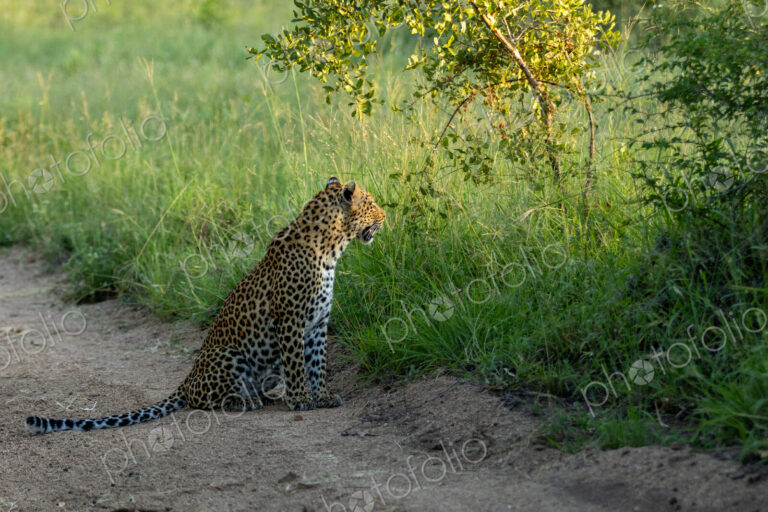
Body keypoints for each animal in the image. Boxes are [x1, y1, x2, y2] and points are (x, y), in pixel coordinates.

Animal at [25, 177, 385, 434]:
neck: (333, 249)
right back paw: (243, 401)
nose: (385, 215)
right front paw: (299, 400)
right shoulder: (290, 321)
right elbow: (298, 364)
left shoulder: (318, 325)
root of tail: (187, 378)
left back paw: (258, 396)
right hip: (229, 355)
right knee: (203, 399)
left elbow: (317, 364)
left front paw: (322, 396)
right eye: (371, 204)